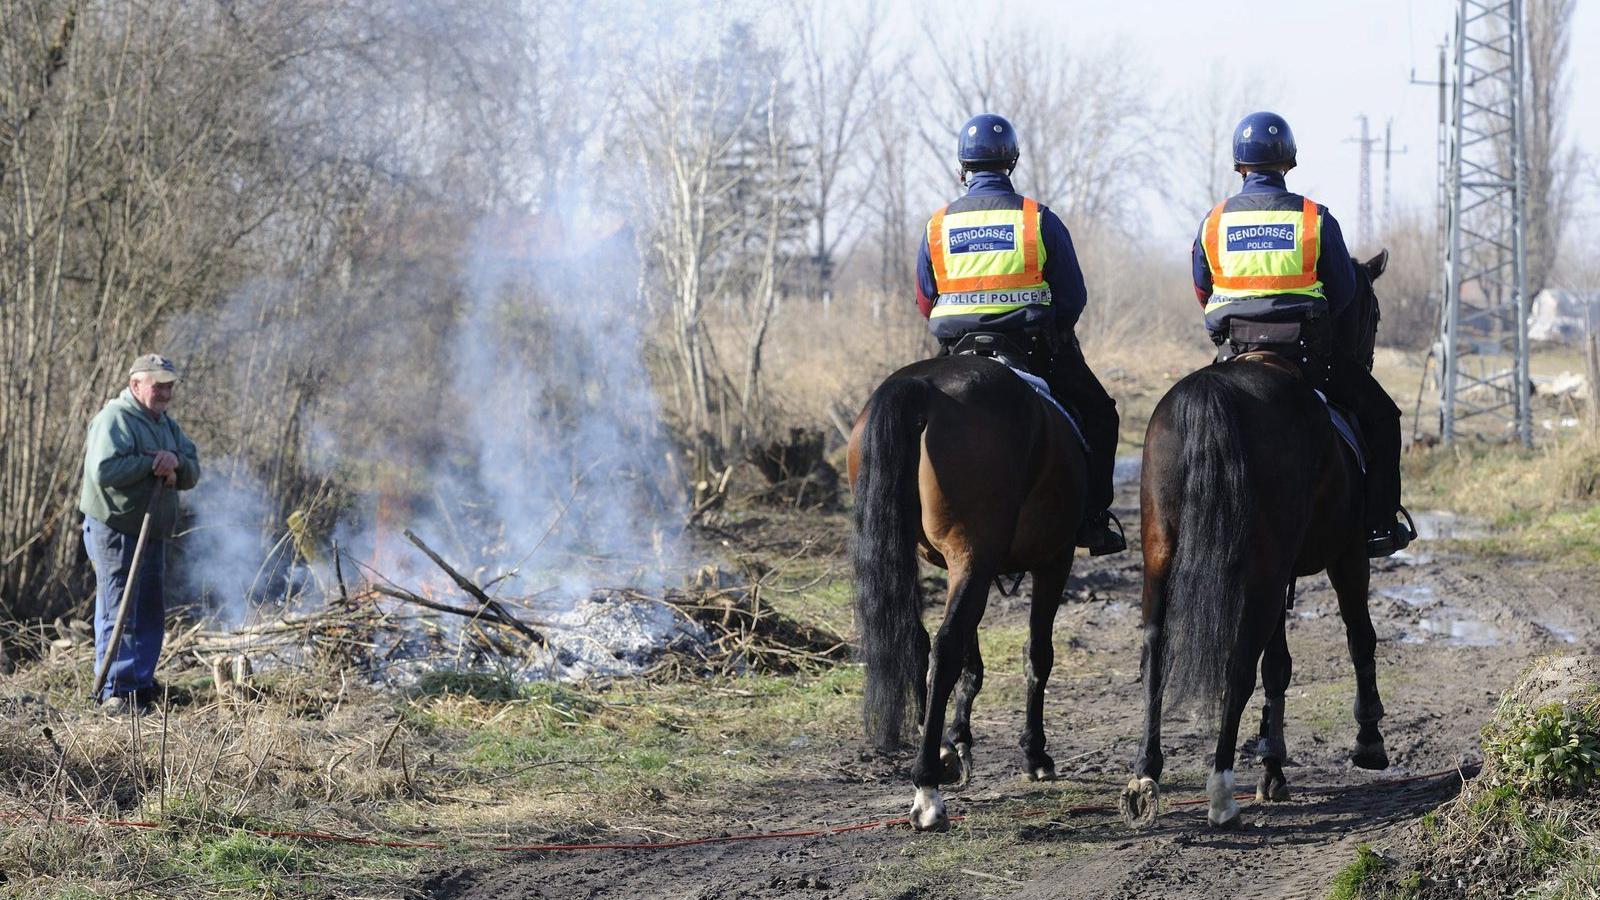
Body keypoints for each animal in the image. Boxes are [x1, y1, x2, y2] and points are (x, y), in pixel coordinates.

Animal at [844, 350, 1081, 826]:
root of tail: (923, 385)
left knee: (917, 641)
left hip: (940, 554)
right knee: (946, 647)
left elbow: (973, 663)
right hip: (974, 554)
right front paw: (1035, 755)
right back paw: (927, 790)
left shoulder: (974, 566)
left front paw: (958, 741)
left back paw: (937, 754)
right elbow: (1037, 655)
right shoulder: (1054, 558)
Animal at [1120, 253, 1395, 826]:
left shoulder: (1283, 569)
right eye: (1374, 313)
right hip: (1266, 573)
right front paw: (1368, 739)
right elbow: (1358, 636)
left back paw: (1145, 773)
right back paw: (1221, 791)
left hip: (1162, 556)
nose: (1368, 358)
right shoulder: (1346, 557)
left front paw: (1273, 764)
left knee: (1156, 651)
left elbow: (1279, 665)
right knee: (1238, 663)